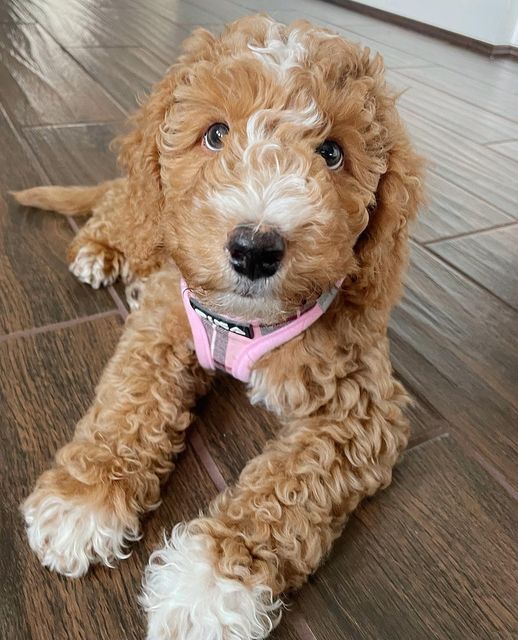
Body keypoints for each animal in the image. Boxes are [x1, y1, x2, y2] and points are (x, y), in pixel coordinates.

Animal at [14, 15, 424, 640]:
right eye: (215, 134)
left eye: (332, 153)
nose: (255, 249)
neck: (239, 321)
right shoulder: (162, 325)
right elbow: (129, 399)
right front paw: (84, 500)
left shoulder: (360, 406)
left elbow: (291, 484)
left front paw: (210, 583)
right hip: (141, 206)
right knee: (122, 207)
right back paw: (99, 249)